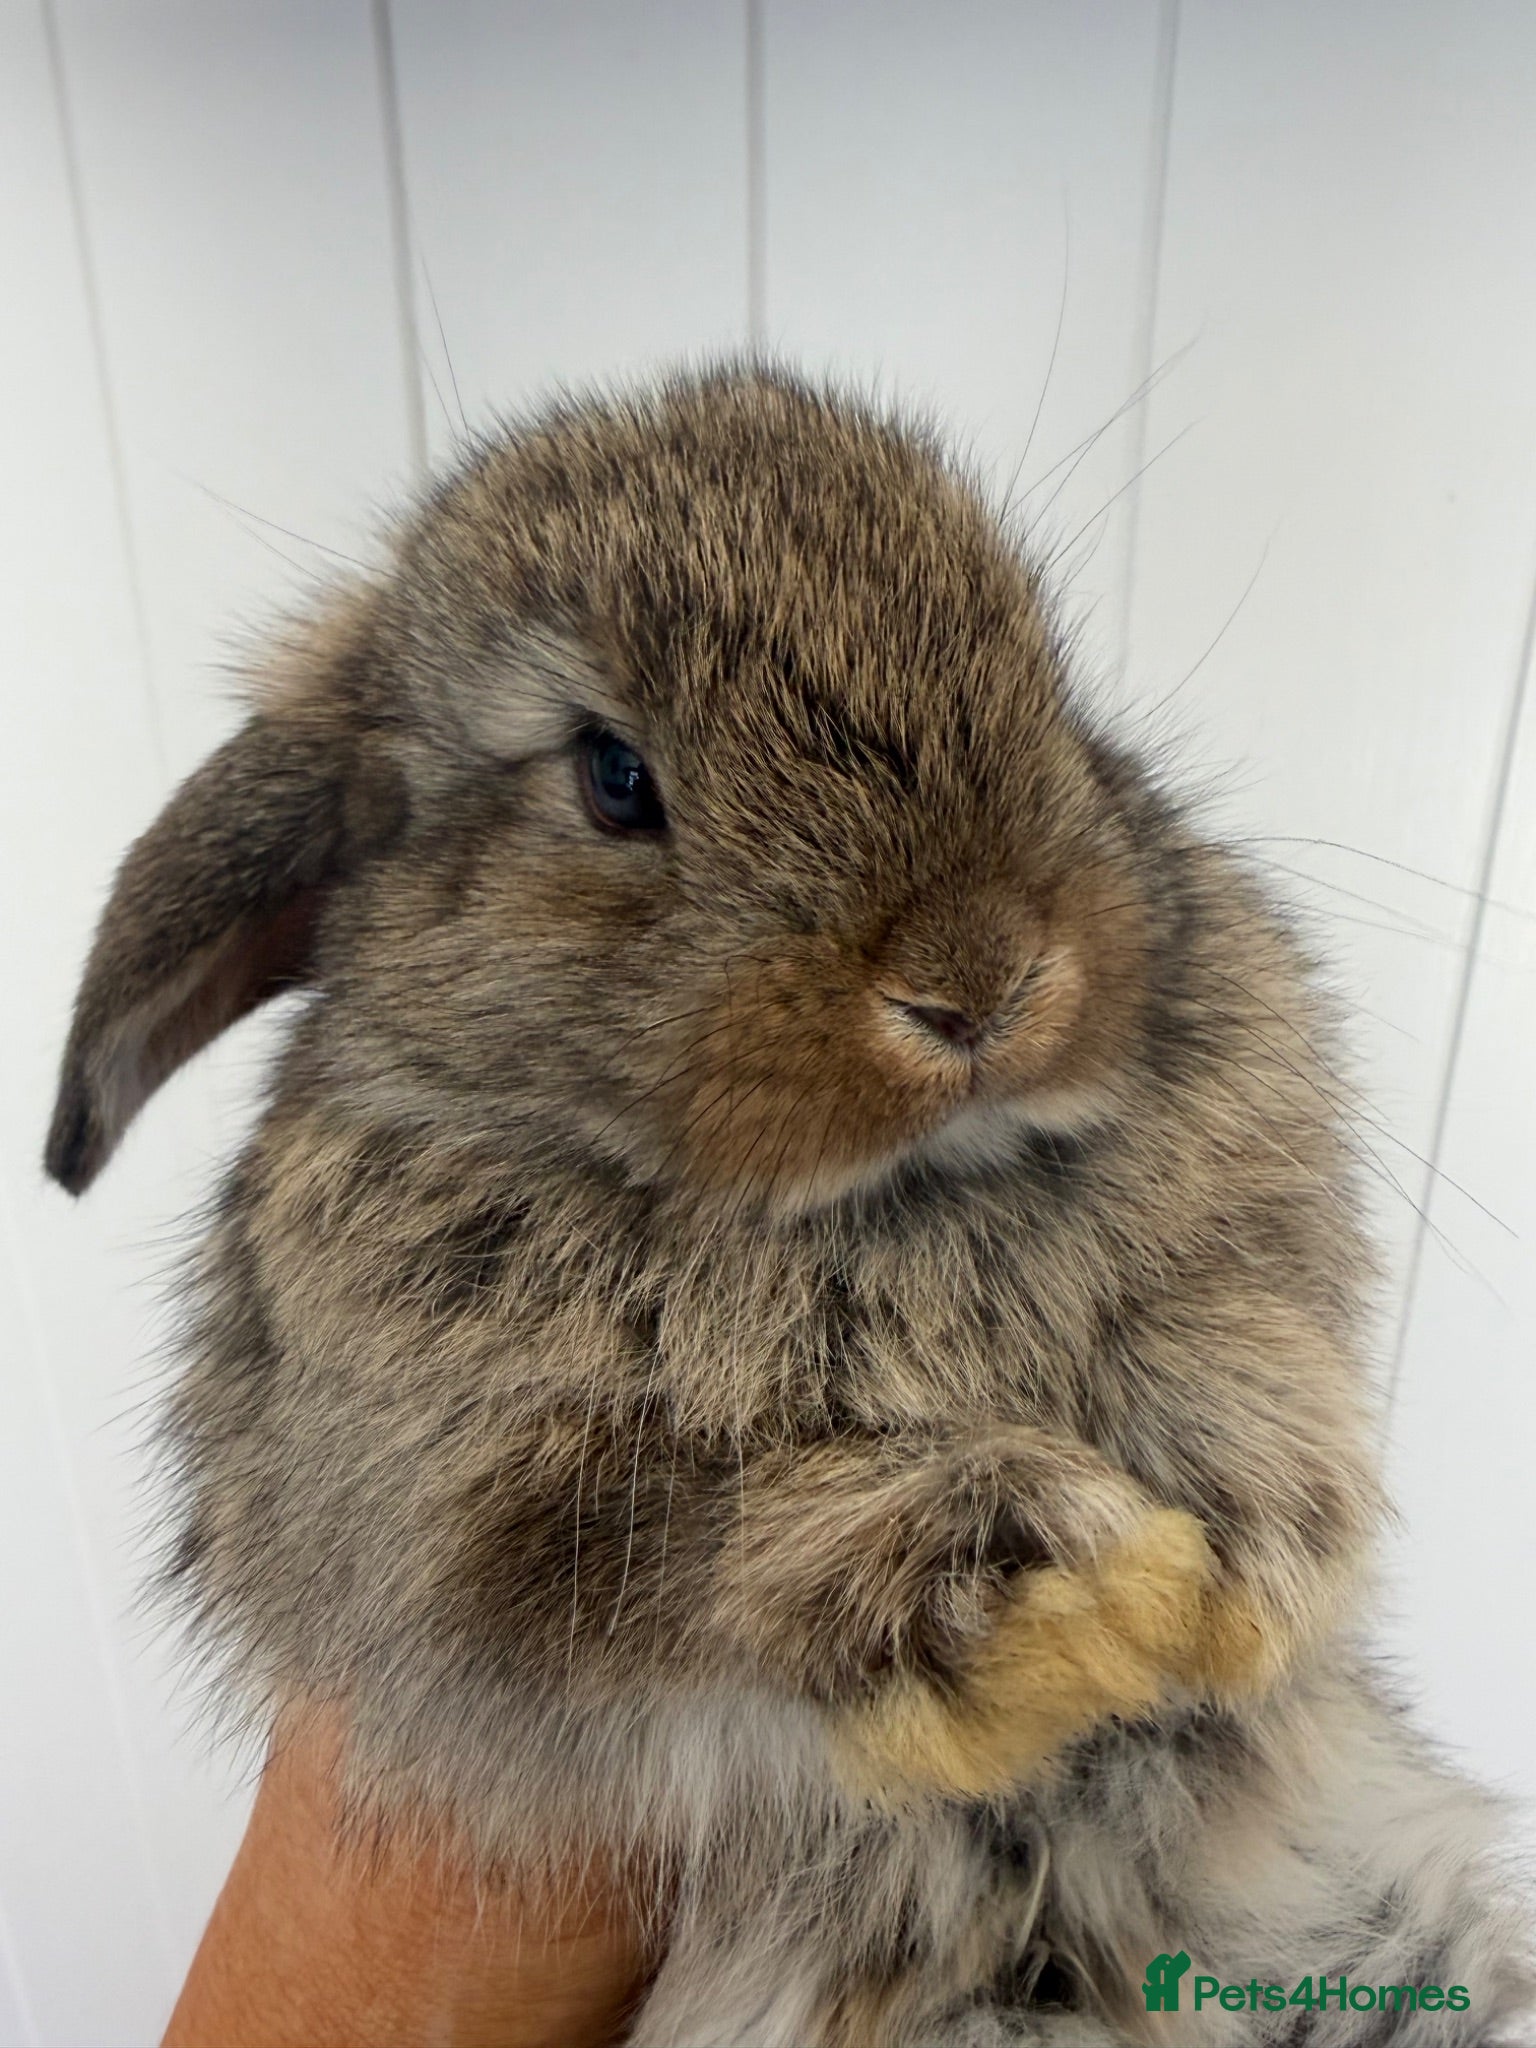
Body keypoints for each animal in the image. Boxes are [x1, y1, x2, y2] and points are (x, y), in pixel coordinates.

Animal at [47, 360, 1532, 2045]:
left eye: (1051, 683)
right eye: (613, 775)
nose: (979, 982)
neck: (881, 1201)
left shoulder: (1242, 1259)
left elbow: (1234, 1341)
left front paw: (1256, 1529)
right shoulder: (463, 1516)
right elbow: (674, 1549)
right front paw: (1037, 1576)